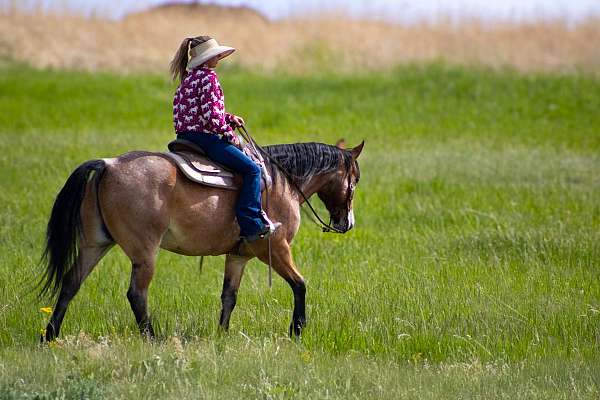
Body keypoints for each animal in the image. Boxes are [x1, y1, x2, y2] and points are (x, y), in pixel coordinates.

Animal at [41, 140, 366, 340]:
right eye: (356, 179)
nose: (347, 223)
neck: (280, 182)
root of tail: (108, 165)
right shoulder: (275, 248)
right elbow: (300, 285)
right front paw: (297, 330)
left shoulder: (238, 256)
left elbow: (229, 296)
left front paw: (222, 335)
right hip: (144, 252)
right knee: (136, 294)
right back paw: (153, 338)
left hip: (94, 245)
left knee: (70, 283)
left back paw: (49, 336)